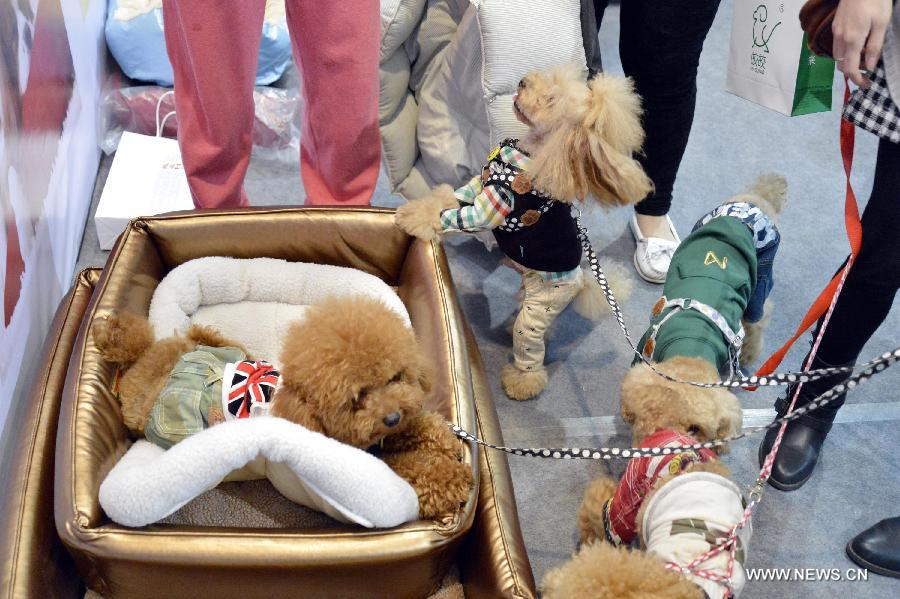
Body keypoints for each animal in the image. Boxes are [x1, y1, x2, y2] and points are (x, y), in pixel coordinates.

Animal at [93, 296, 472, 520]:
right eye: (355, 399)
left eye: (395, 377)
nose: (392, 416)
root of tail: (142, 359)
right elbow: (409, 470)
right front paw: (453, 476)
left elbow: (418, 428)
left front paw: (443, 440)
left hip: (213, 348)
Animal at [394, 63, 648, 400]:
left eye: (550, 100)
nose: (523, 81)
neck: (527, 153)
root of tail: (582, 280)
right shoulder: (479, 184)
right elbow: (448, 197)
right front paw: (421, 207)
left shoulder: (493, 206)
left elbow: (460, 217)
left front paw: (414, 219)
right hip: (530, 292)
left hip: (543, 305)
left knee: (530, 345)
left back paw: (521, 382)